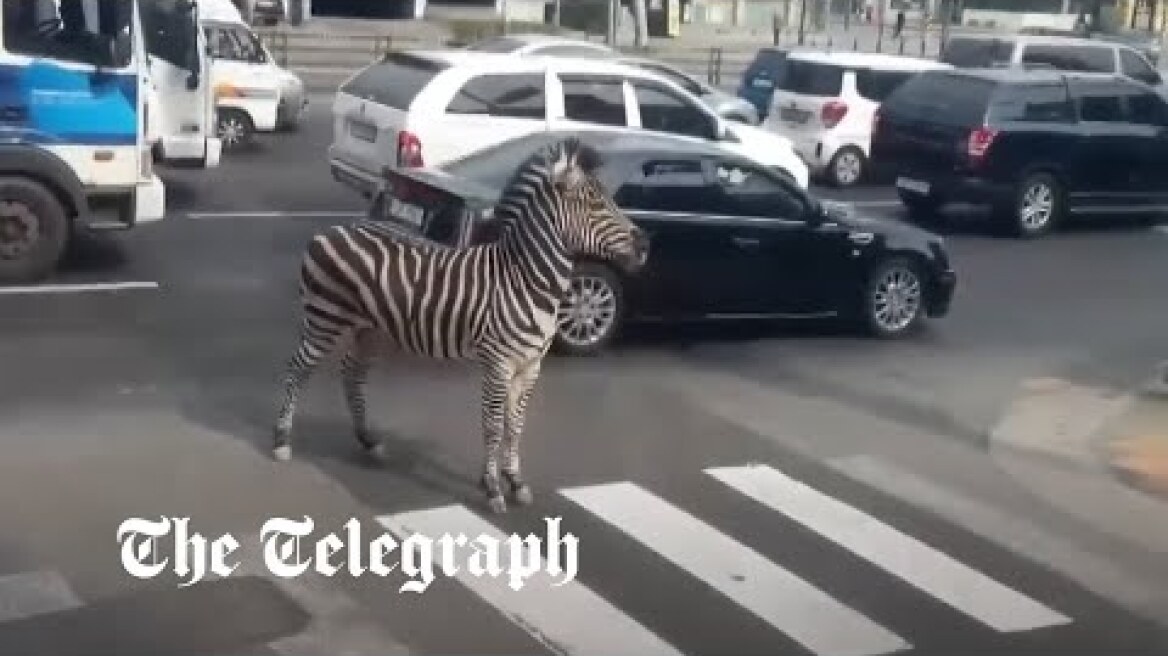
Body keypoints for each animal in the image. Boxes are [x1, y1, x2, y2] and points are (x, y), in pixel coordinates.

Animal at [271, 137, 650, 513]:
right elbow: (493, 425)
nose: (645, 244)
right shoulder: (499, 362)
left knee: (352, 374)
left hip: (370, 329)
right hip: (325, 318)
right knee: (296, 369)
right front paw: (493, 488)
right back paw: (281, 440)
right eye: (596, 202)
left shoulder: (530, 365)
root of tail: (327, 232)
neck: (527, 281)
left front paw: (515, 481)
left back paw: (367, 440)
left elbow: (516, 426)